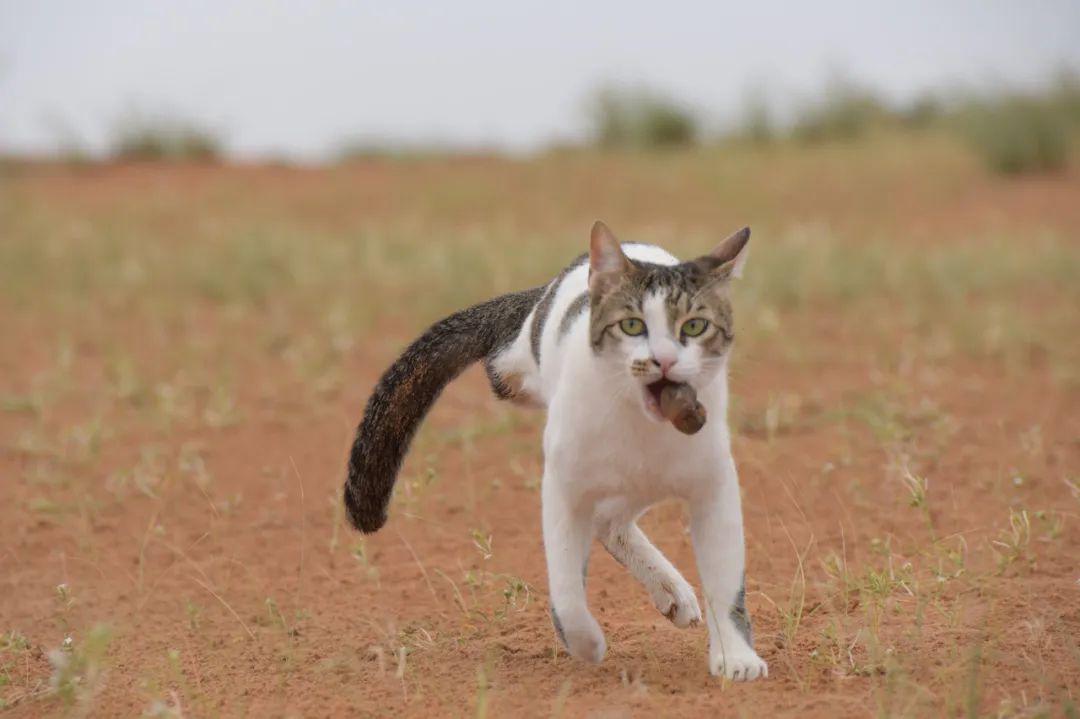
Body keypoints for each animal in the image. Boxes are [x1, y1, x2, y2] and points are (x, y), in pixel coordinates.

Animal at [343, 221, 768, 682]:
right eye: (632, 326)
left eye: (693, 327)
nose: (664, 360)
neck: (639, 427)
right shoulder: (565, 488)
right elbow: (566, 587)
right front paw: (585, 642)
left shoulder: (713, 485)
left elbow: (726, 583)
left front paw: (735, 658)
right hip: (520, 370)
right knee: (502, 368)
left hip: (644, 484)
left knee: (610, 522)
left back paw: (671, 590)